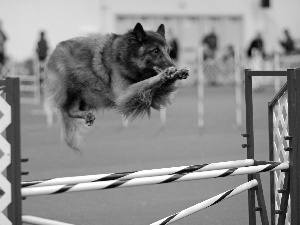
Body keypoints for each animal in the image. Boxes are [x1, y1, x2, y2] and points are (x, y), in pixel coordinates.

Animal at [44, 22, 190, 150]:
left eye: (168, 51)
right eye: (155, 51)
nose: (174, 66)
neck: (126, 57)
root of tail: (53, 52)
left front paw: (177, 73)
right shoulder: (124, 94)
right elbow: (148, 82)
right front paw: (165, 74)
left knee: (71, 110)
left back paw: (86, 115)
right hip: (72, 87)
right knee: (66, 110)